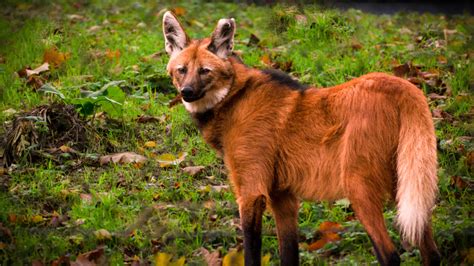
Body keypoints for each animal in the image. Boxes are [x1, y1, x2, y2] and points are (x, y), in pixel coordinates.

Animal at [162, 10, 440, 266]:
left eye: (205, 71)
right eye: (182, 70)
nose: (186, 92)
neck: (234, 98)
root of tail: (403, 86)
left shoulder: (252, 192)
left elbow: (253, 251)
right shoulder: (282, 195)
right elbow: (288, 253)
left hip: (358, 184)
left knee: (390, 255)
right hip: (406, 179)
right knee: (430, 251)